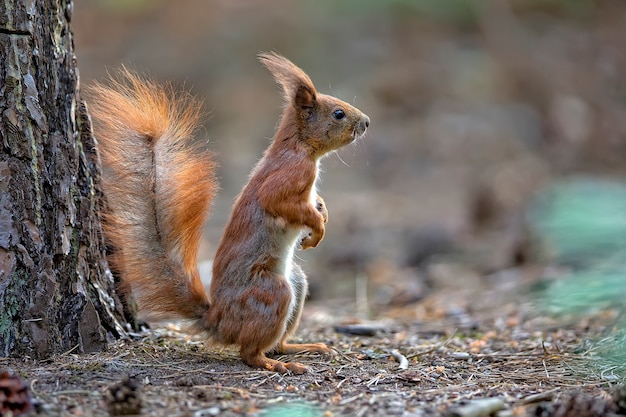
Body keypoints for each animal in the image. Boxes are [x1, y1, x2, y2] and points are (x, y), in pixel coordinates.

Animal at [89, 52, 370, 374]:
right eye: (338, 113)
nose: (367, 122)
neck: (299, 147)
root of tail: (220, 321)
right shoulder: (288, 176)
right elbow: (280, 203)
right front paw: (317, 229)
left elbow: (317, 203)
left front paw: (322, 216)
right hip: (272, 292)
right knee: (249, 352)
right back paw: (278, 364)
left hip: (297, 283)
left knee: (278, 344)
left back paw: (304, 348)